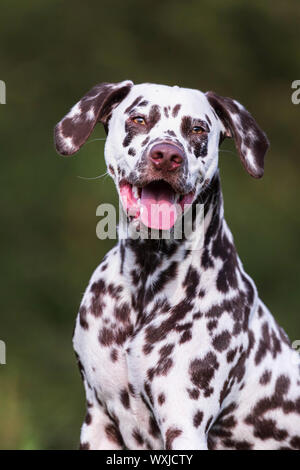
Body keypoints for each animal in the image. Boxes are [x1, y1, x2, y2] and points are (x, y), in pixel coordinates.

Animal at [54, 81, 300, 452]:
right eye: (139, 119)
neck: (144, 283)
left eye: (197, 129)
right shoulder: (98, 421)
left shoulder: (184, 423)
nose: (168, 155)